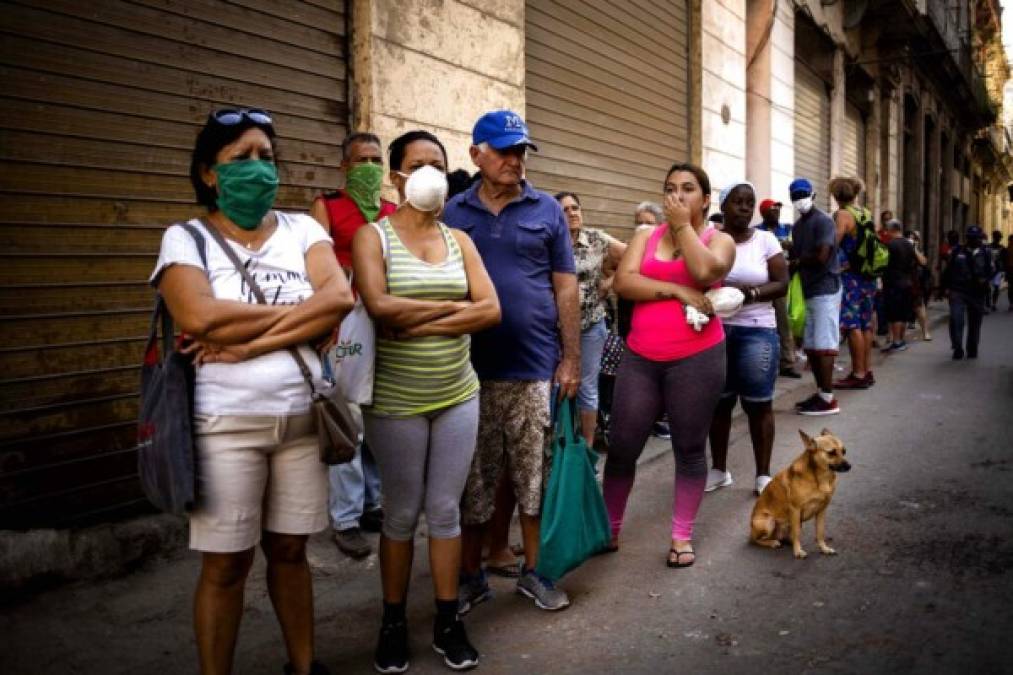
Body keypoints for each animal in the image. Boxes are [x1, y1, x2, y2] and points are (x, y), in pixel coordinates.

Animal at [749, 427, 850, 555]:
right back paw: (772, 542)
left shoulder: (821, 511)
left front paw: (824, 548)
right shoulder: (795, 510)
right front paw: (798, 552)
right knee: (757, 540)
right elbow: (797, 533)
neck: (820, 478)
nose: (849, 466)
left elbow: (820, 532)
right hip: (768, 521)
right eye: (831, 453)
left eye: (844, 451)